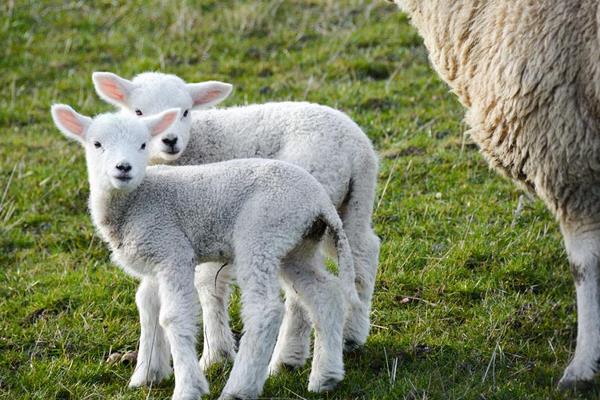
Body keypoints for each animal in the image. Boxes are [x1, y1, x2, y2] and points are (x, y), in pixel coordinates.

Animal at [50, 105, 360, 400]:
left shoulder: (172, 250)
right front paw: (146, 375)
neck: (136, 200)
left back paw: (240, 388)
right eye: (96, 144)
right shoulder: (155, 257)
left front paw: (188, 387)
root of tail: (319, 202)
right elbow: (148, 307)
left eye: (142, 144)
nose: (123, 167)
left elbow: (173, 317)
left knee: (265, 309)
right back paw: (326, 377)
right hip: (296, 246)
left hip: (261, 234)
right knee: (326, 294)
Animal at [90, 71, 380, 372]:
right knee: (363, 251)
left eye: (185, 111)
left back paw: (286, 356)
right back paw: (352, 333)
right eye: (138, 112)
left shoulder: (209, 218)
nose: (169, 140)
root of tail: (354, 148)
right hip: (352, 202)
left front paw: (214, 354)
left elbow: (208, 284)